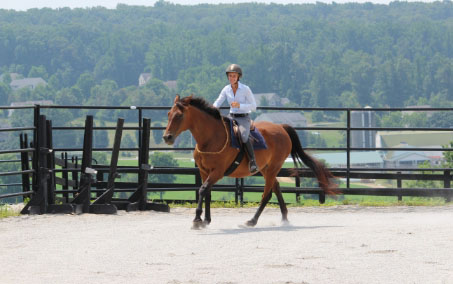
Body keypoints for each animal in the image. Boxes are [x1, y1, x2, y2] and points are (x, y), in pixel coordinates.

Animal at [162, 95, 336, 229]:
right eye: (169, 113)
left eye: (179, 115)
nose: (167, 137)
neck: (212, 138)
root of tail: (281, 127)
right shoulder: (204, 171)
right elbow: (207, 193)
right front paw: (206, 220)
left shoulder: (217, 172)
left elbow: (203, 190)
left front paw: (197, 220)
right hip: (266, 168)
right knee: (276, 188)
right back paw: (284, 219)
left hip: (273, 168)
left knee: (267, 194)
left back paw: (252, 221)